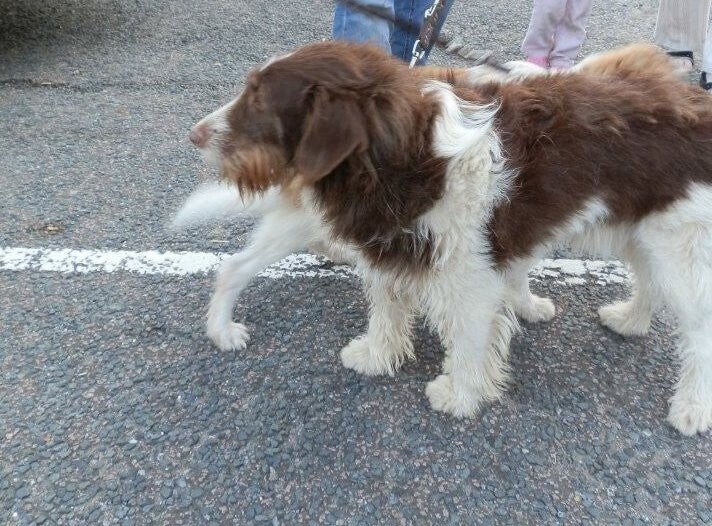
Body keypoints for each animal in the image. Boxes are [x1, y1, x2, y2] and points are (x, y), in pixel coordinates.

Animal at [175, 42, 712, 435]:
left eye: (258, 98)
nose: (194, 135)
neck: (408, 156)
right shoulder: (391, 245)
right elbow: (386, 306)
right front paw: (377, 356)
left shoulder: (470, 274)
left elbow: (470, 336)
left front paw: (460, 393)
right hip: (640, 230)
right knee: (648, 281)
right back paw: (631, 320)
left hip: (681, 246)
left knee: (699, 331)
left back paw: (691, 407)